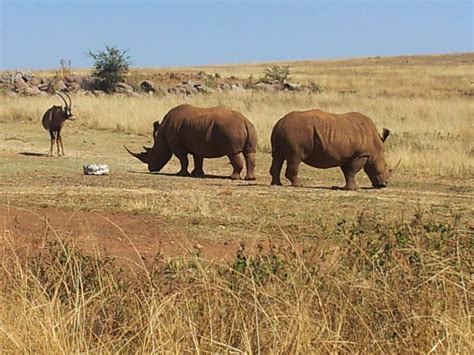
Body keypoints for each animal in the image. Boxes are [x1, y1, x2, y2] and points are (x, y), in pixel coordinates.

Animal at [125, 104, 256, 179]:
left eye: (153, 153)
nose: (151, 169)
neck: (162, 133)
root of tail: (244, 121)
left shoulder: (177, 146)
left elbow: (183, 159)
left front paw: (181, 174)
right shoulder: (199, 144)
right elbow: (198, 159)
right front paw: (197, 174)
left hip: (230, 129)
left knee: (232, 153)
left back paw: (233, 177)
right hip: (249, 127)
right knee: (249, 152)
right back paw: (250, 179)